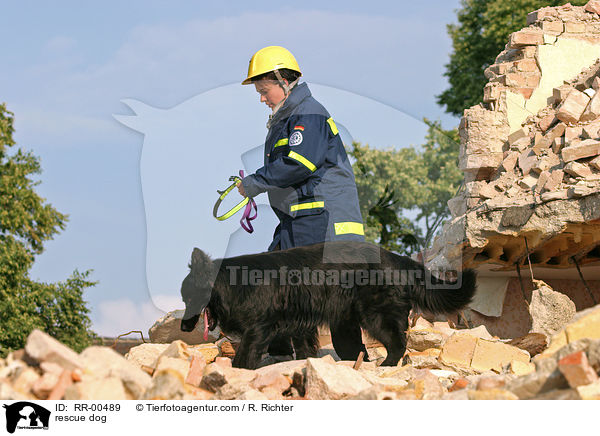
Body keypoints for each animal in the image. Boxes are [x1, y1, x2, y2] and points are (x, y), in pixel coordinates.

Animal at [180, 242, 476, 368]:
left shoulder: (258, 329)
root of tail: (399, 259)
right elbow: (303, 348)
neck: (231, 283)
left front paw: (239, 371)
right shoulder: (296, 325)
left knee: (397, 343)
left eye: (187, 298)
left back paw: (387, 366)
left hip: (377, 317)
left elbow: (244, 355)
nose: (183, 327)